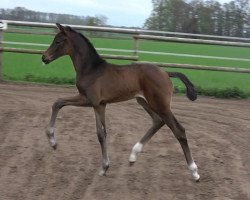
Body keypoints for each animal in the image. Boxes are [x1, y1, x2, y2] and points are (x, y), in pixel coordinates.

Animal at [42, 23, 200, 181]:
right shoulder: (95, 102)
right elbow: (58, 103)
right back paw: (133, 155)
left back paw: (194, 171)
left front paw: (104, 167)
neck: (91, 69)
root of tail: (166, 73)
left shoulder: (93, 102)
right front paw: (53, 142)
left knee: (179, 130)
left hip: (160, 105)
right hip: (144, 101)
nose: (44, 57)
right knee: (158, 121)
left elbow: (100, 133)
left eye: (58, 41)